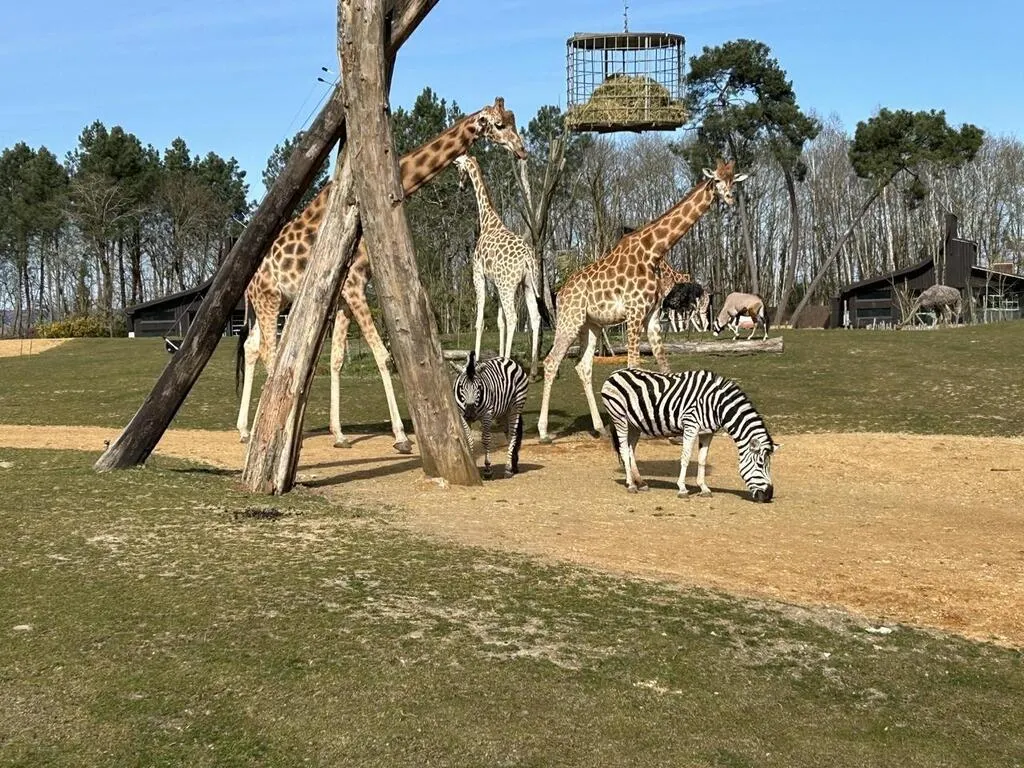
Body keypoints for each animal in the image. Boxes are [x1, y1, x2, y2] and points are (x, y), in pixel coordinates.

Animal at [236, 97, 527, 453]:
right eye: (499, 125)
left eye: (513, 120)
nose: (521, 150)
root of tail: (249, 281)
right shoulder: (354, 287)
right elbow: (382, 355)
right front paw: (401, 437)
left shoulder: (345, 295)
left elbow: (338, 359)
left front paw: (339, 434)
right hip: (269, 298)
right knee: (269, 353)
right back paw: (268, 428)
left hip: (276, 303)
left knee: (252, 347)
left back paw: (246, 429)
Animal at [452, 351, 529, 479]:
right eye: (461, 387)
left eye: (479, 387)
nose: (470, 413)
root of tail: (509, 360)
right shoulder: (462, 415)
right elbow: (468, 439)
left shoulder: (487, 415)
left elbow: (486, 439)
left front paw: (488, 470)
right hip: (503, 413)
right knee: (508, 434)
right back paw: (512, 466)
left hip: (516, 407)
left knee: (512, 435)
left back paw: (508, 469)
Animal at [453, 154, 546, 379]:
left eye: (458, 168)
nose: (460, 186)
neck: (488, 221)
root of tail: (527, 258)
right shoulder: (495, 283)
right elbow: (499, 321)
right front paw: (499, 356)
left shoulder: (479, 275)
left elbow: (481, 321)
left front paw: (476, 360)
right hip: (526, 284)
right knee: (534, 317)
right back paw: (532, 371)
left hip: (508, 285)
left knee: (514, 318)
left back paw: (510, 364)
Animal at [536, 159, 748, 443]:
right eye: (715, 179)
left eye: (733, 180)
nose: (730, 197)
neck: (654, 252)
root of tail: (560, 293)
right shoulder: (635, 312)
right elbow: (633, 365)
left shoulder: (652, 316)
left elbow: (664, 363)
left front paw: (675, 432)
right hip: (570, 320)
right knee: (551, 361)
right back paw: (544, 432)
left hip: (591, 326)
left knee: (583, 367)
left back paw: (599, 428)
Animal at [600, 368, 778, 502]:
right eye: (761, 464)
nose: (768, 496)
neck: (717, 405)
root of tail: (615, 373)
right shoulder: (690, 425)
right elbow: (685, 458)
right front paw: (682, 489)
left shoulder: (708, 432)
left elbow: (702, 460)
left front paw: (704, 488)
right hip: (619, 418)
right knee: (624, 449)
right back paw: (631, 485)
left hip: (635, 424)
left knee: (630, 449)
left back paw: (641, 482)